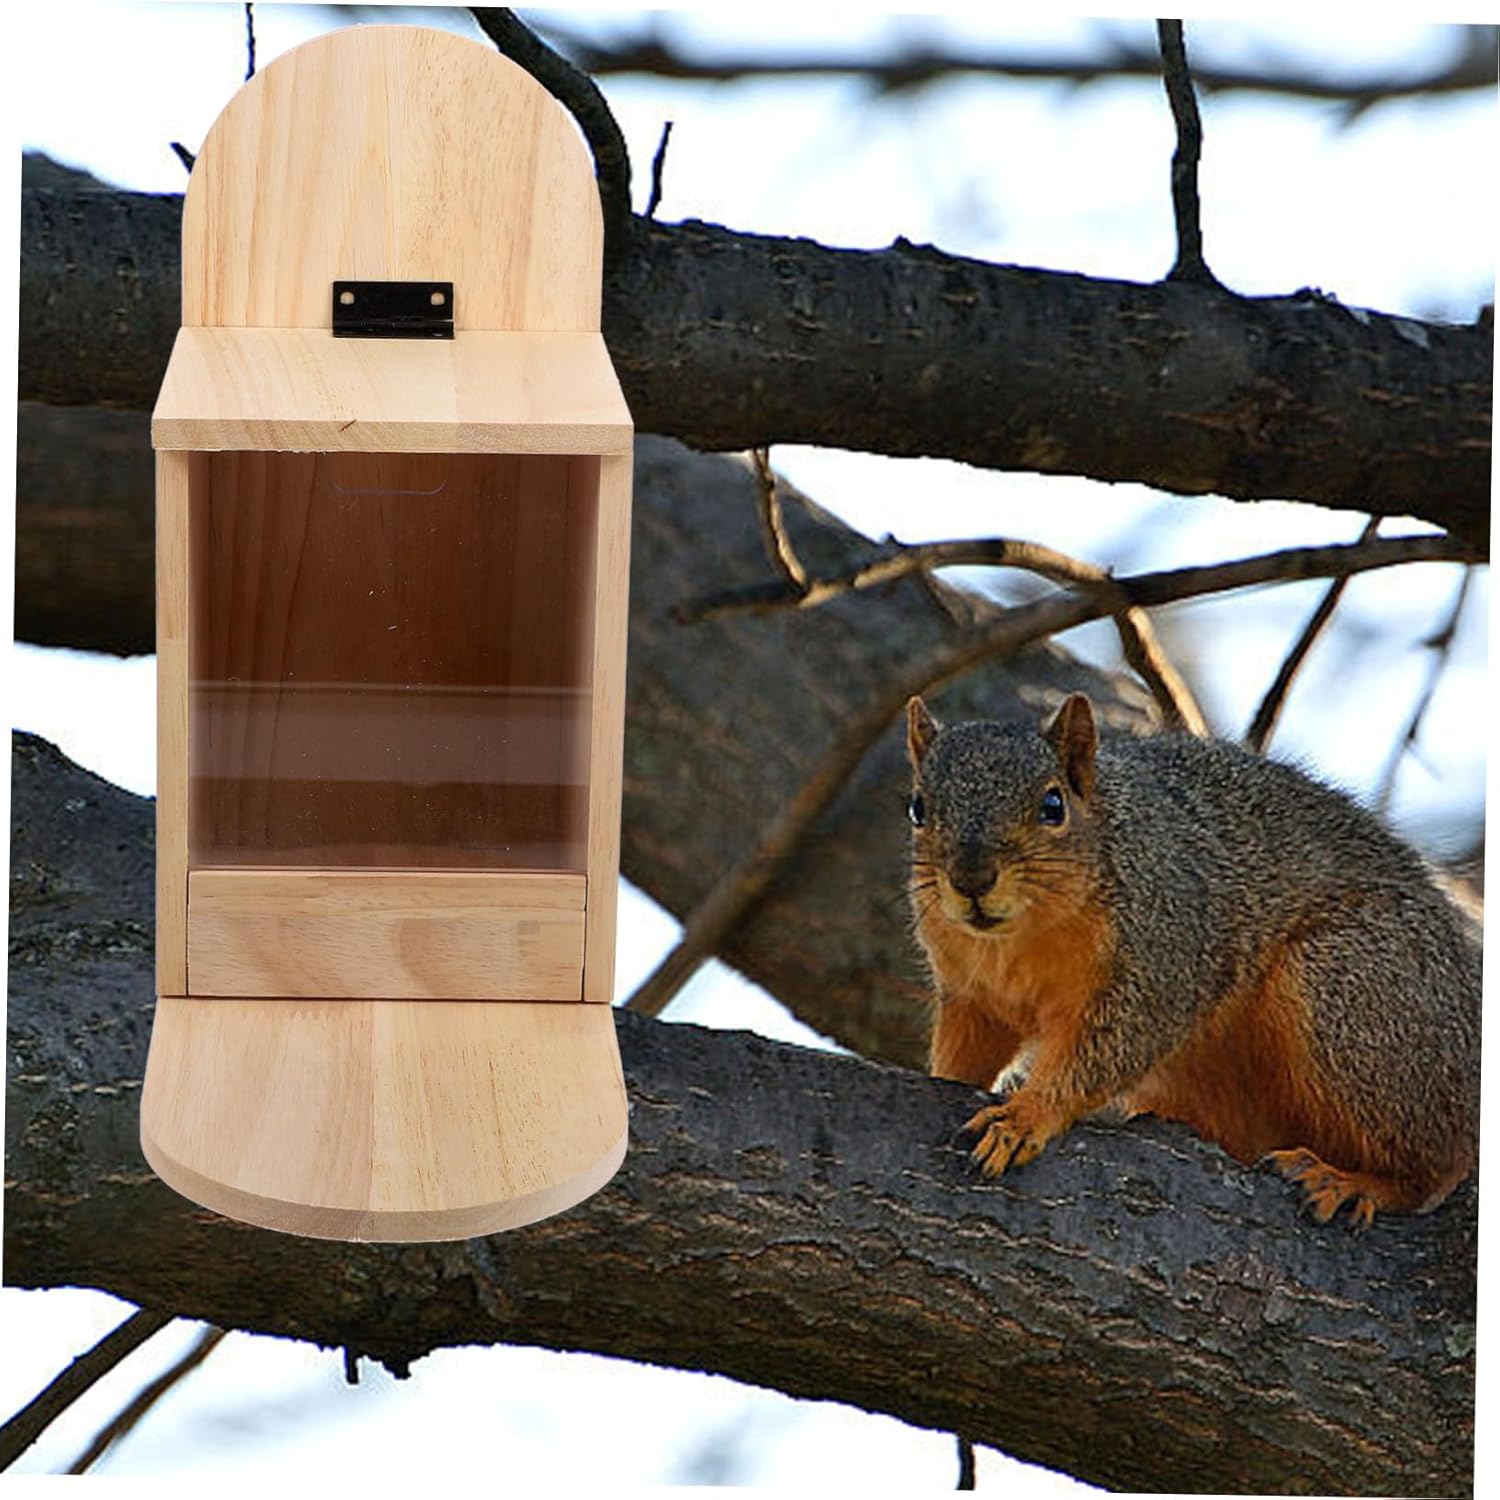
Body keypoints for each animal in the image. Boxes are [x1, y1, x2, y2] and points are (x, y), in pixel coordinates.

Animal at [905, 690, 1481, 1227]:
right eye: (917, 808)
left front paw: (1024, 1116)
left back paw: (1352, 1183)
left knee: (1435, 1164)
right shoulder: (972, 995)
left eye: (1053, 805)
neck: (1015, 940)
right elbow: (969, 1046)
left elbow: (1106, 1051)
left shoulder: (1163, 958)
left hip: (1354, 994)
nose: (971, 879)